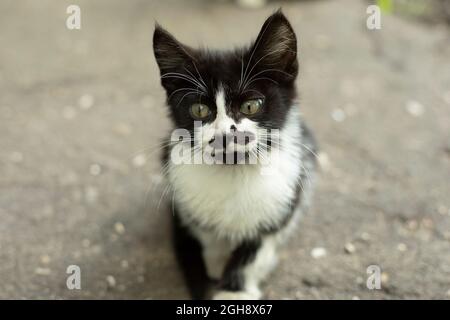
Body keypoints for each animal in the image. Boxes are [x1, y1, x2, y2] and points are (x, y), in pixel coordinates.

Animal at [153, 10, 318, 300]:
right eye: (199, 110)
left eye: (251, 106)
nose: (224, 135)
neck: (233, 170)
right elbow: (204, 231)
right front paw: (216, 259)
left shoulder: (287, 198)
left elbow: (256, 247)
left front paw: (234, 291)